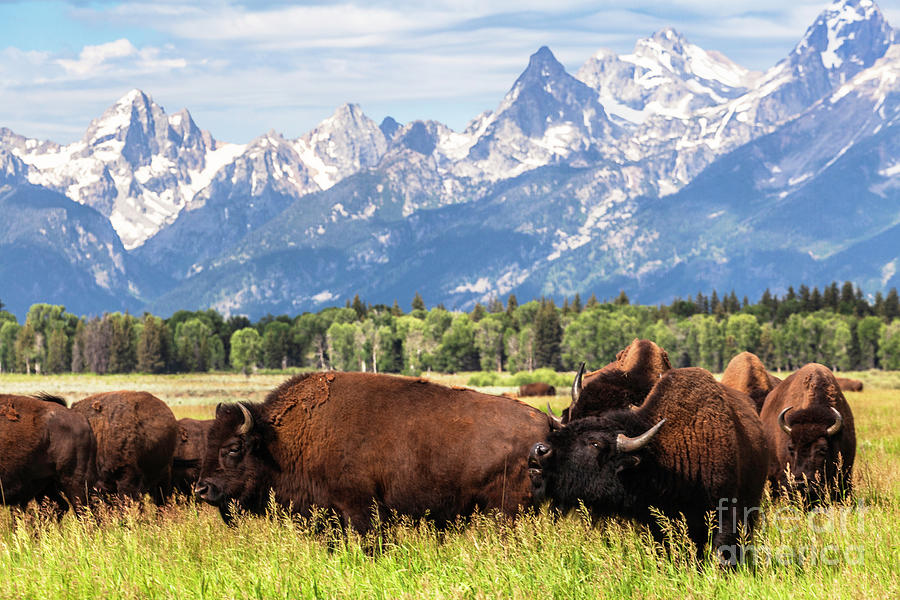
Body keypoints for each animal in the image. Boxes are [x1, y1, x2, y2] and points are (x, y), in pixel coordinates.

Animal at [194, 372, 552, 532]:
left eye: (233, 448)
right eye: (208, 443)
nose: (202, 489)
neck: (279, 442)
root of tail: (546, 422)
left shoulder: (361, 510)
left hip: (507, 511)